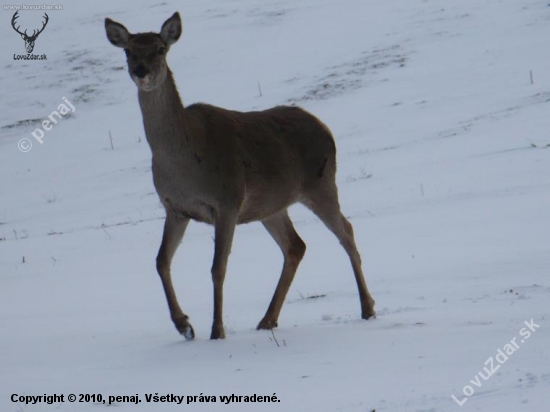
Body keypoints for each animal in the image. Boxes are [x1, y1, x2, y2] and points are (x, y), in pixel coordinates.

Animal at [105, 12, 378, 342]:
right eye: (128, 51)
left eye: (160, 49)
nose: (141, 71)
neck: (182, 161)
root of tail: (325, 128)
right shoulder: (175, 208)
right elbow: (161, 261)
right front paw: (184, 325)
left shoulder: (227, 201)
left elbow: (217, 268)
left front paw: (216, 330)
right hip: (272, 205)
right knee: (295, 245)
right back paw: (267, 320)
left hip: (321, 184)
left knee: (345, 232)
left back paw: (367, 307)